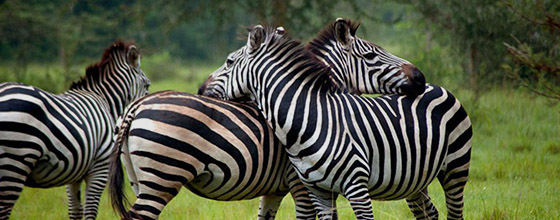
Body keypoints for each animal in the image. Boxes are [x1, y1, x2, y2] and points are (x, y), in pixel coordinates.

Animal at [0, 40, 151, 220]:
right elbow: (90, 211)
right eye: (147, 85)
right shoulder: (99, 168)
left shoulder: (75, 170)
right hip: (15, 160)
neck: (105, 101)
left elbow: (75, 211)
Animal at [201, 24, 472, 219]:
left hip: (449, 170)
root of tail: (438, 87)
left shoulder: (316, 188)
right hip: (416, 180)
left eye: (229, 61)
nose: (419, 77)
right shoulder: (308, 189)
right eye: (370, 55)